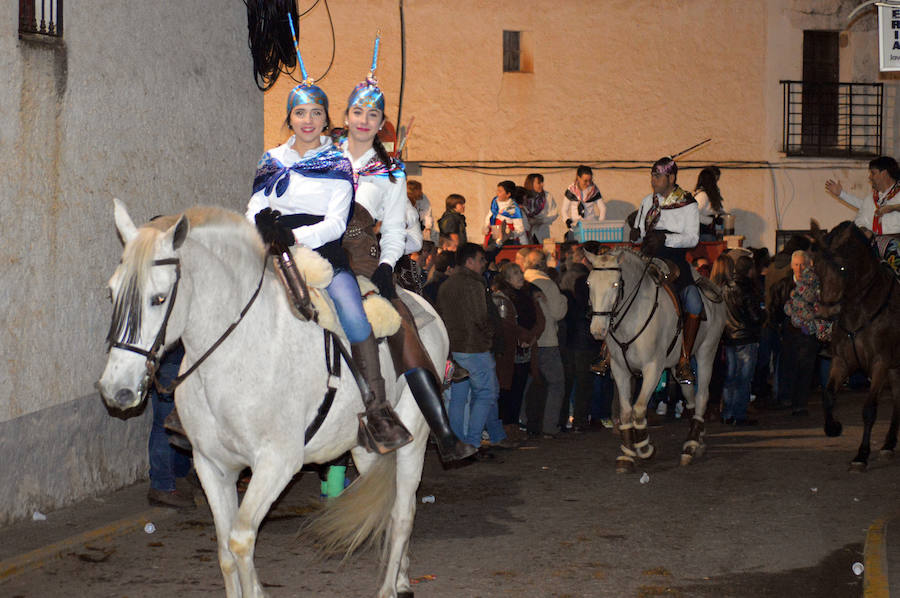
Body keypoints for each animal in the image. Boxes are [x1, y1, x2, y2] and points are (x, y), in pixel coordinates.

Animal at [96, 203, 442, 598]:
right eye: (111, 292)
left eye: (159, 298)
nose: (116, 389)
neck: (236, 353)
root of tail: (419, 304)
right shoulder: (212, 465)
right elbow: (225, 550)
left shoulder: (276, 463)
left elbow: (241, 540)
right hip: (365, 449)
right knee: (389, 504)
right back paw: (400, 576)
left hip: (413, 440)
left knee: (402, 513)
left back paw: (388, 587)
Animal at [584, 248, 724, 474]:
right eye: (589, 283)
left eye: (615, 284)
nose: (597, 330)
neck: (632, 317)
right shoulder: (620, 370)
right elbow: (626, 413)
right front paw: (627, 455)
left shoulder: (652, 369)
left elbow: (639, 410)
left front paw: (645, 449)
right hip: (678, 366)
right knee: (690, 396)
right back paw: (698, 438)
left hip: (706, 353)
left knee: (702, 395)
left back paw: (690, 446)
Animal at [808, 221, 900, 474]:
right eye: (816, 266)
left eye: (842, 268)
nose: (826, 311)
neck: (859, 309)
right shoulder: (842, 361)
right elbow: (828, 395)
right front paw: (833, 427)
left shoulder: (880, 363)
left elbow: (869, 410)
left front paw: (861, 455)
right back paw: (889, 444)